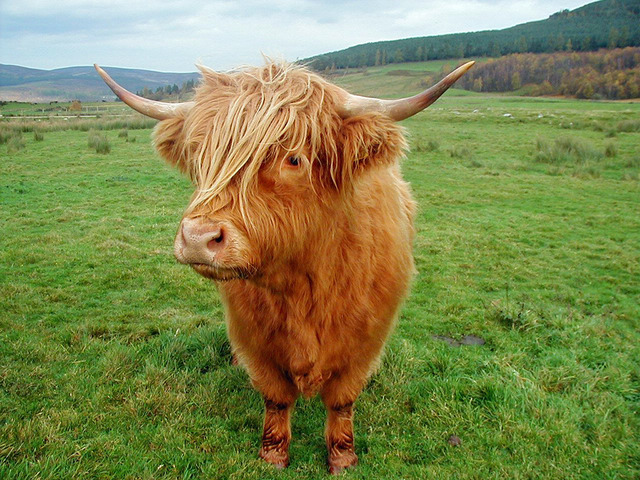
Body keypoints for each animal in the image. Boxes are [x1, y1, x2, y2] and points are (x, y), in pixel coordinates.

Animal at [95, 59, 473, 473]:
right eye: (199, 154)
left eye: (294, 158)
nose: (197, 238)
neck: (305, 282)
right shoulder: (253, 337)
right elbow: (275, 397)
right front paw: (273, 454)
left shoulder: (364, 340)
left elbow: (342, 400)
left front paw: (342, 458)